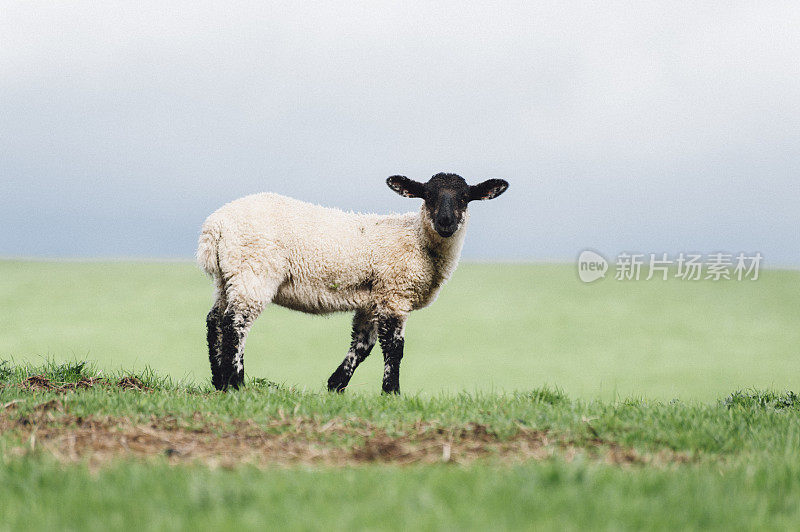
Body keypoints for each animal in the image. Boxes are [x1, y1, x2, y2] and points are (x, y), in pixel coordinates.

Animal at [198, 172, 510, 392]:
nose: (446, 221)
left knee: (215, 320)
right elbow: (394, 348)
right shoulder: (394, 294)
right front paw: (391, 393)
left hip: (227, 277)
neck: (417, 239)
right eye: (427, 196)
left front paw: (335, 385)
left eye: (465, 197)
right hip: (253, 270)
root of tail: (215, 226)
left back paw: (219, 381)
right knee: (235, 324)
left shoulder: (372, 300)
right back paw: (236, 383)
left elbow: (362, 345)